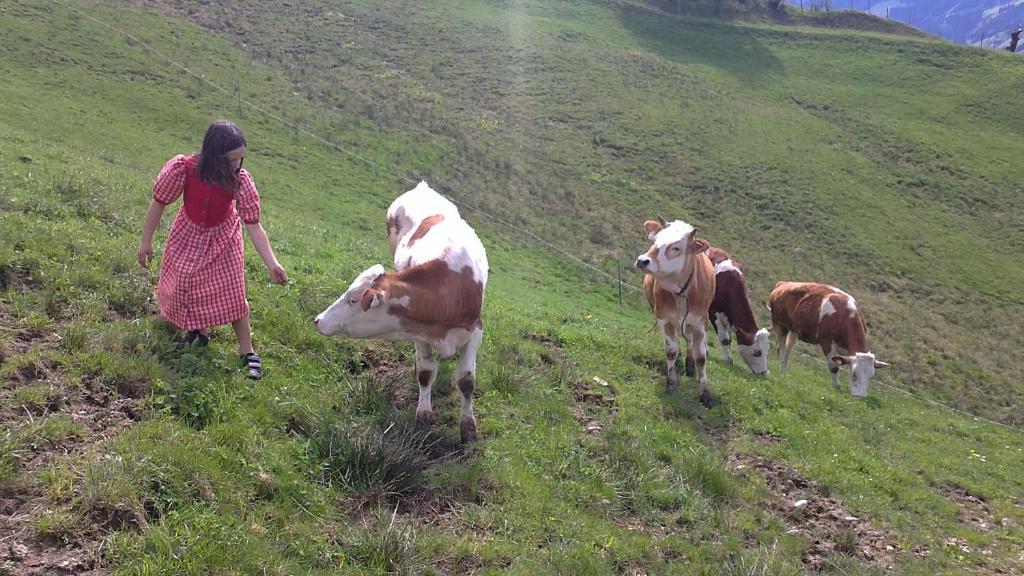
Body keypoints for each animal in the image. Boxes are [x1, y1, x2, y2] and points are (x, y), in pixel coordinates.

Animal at [311, 181, 487, 440]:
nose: (318, 319)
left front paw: (468, 426)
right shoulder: (418, 329)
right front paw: (423, 415)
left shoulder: (475, 329)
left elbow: (466, 379)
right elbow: (425, 371)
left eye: (352, 300)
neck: (450, 287)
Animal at [634, 217, 716, 405]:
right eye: (655, 240)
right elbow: (671, 350)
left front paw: (705, 391)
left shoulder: (701, 321)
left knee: (689, 341)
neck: (681, 291)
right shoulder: (664, 318)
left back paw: (690, 364)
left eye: (676, 247)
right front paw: (671, 383)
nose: (642, 260)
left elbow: (701, 356)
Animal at [712, 243, 770, 375]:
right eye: (757, 352)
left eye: (767, 351)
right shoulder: (712, 312)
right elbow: (724, 338)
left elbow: (729, 338)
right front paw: (728, 360)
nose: (764, 372)